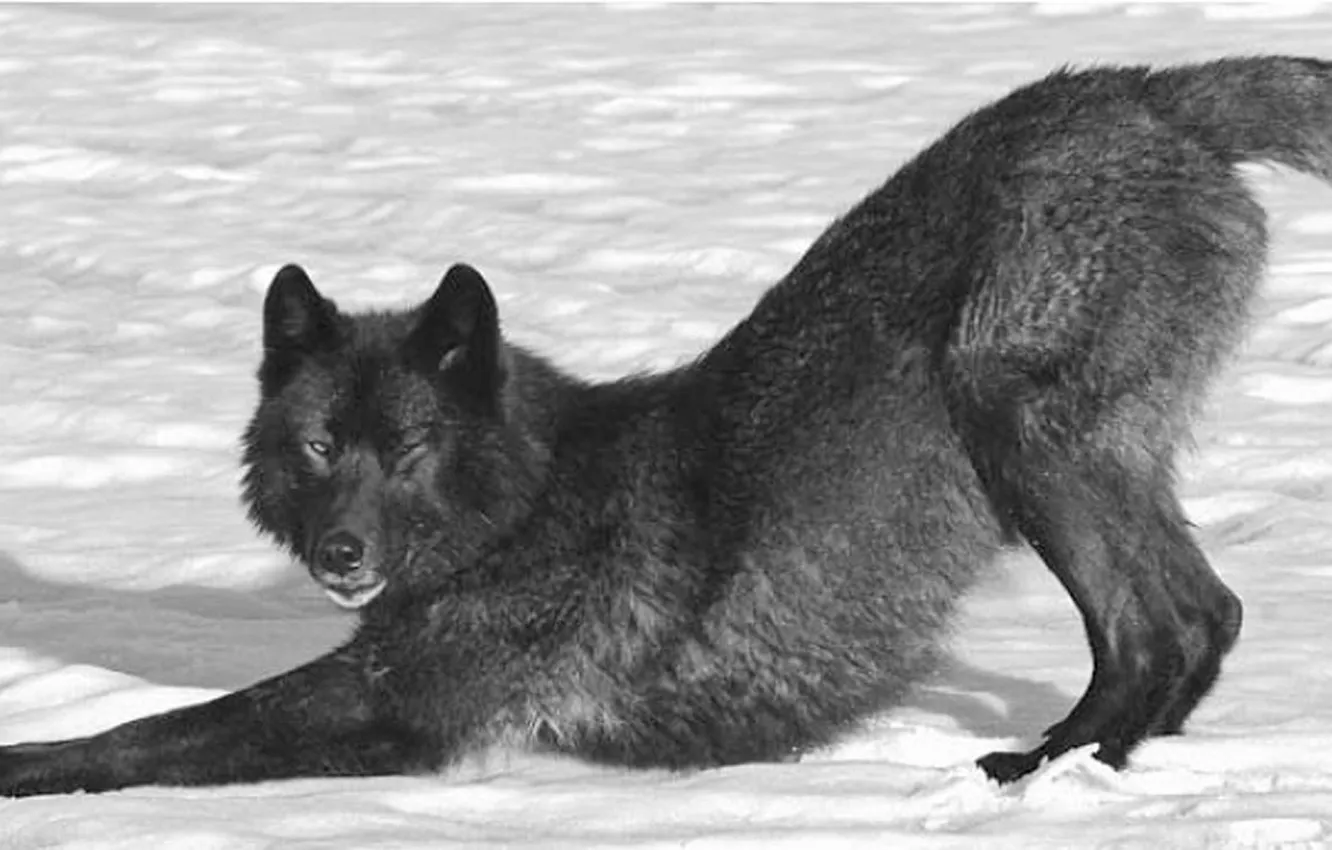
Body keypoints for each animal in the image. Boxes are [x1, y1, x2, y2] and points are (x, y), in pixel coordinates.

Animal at [2, 56, 1329, 797]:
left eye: (411, 450)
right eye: (321, 445)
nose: (342, 552)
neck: (520, 504)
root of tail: (1147, 93)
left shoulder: (404, 706)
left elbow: (169, 729)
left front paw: (30, 768)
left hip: (1009, 415)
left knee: (1165, 621)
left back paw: (1043, 770)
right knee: (1207, 613)